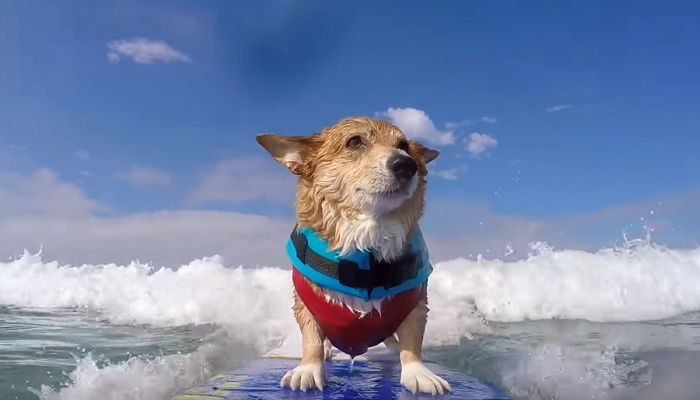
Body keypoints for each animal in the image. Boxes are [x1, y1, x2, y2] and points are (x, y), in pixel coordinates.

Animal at [256, 115, 448, 394]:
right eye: (355, 141)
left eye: (404, 146)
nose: (406, 164)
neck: (366, 234)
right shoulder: (304, 304)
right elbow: (311, 340)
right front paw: (307, 370)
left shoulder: (417, 304)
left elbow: (412, 342)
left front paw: (419, 373)